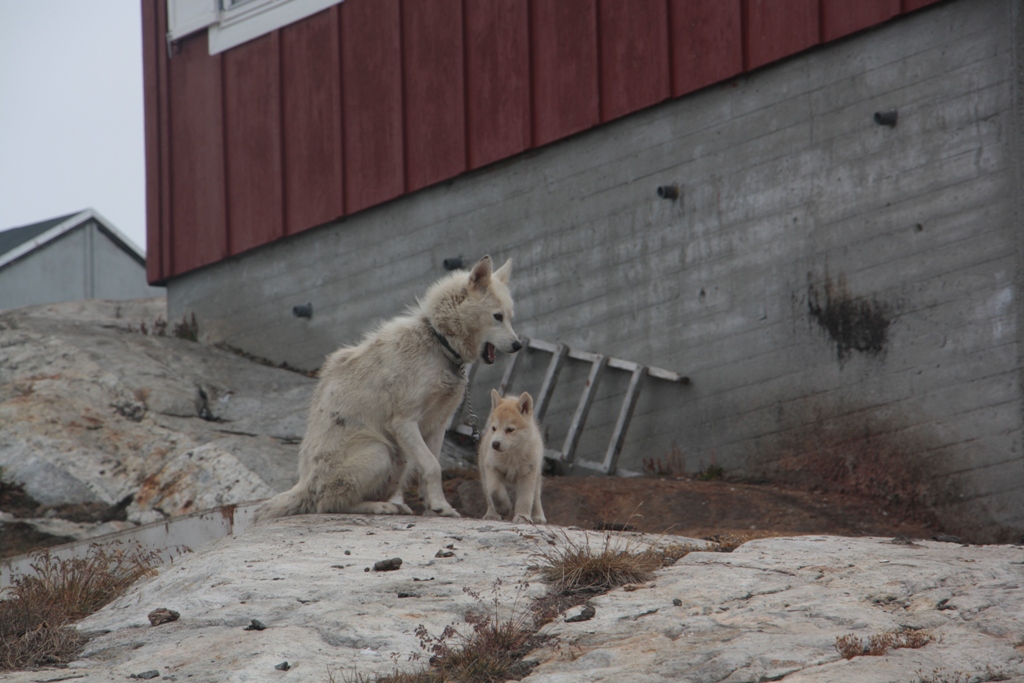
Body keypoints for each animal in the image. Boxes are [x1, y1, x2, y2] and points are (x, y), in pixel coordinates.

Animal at [254, 259, 524, 520]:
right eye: (497, 316)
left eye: (511, 317)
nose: (518, 345)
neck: (438, 343)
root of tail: (304, 487)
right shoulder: (405, 422)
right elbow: (432, 466)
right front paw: (441, 506)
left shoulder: (438, 425)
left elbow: (431, 465)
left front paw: (432, 508)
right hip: (380, 452)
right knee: (329, 504)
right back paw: (379, 507)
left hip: (399, 460)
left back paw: (395, 505)